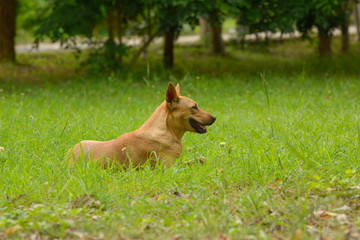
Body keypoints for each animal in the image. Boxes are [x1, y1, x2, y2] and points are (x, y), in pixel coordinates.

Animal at [66, 83, 215, 168]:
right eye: (194, 107)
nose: (214, 117)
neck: (167, 130)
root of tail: (66, 157)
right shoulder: (168, 167)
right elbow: (191, 164)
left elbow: (200, 159)